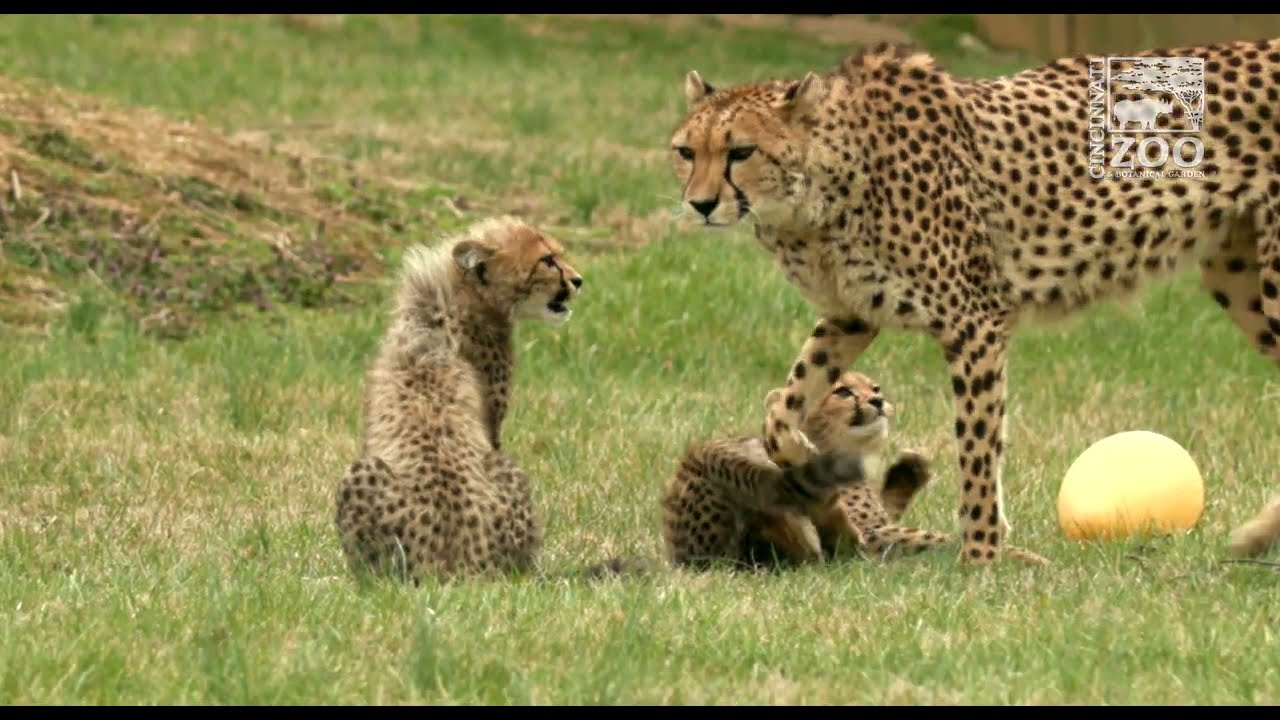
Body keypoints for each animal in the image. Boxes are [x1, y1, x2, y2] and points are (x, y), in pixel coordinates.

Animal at [667, 38, 1280, 566]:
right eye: (685, 152)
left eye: (741, 151)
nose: (699, 205)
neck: (819, 191)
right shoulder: (851, 314)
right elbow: (784, 401)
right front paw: (800, 460)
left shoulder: (974, 320)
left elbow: (978, 452)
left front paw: (982, 560)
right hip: (1240, 277)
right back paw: (1257, 539)